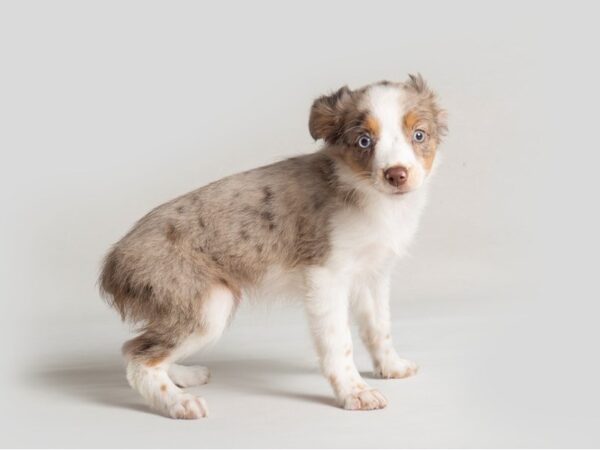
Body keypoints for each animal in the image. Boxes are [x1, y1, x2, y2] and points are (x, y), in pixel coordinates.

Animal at [99, 75, 446, 420]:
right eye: (363, 141)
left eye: (418, 135)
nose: (396, 175)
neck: (371, 196)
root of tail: (114, 259)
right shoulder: (326, 276)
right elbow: (339, 342)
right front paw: (354, 392)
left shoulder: (372, 275)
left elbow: (379, 327)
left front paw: (391, 366)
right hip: (209, 304)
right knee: (139, 358)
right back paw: (177, 402)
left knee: (138, 348)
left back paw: (183, 376)